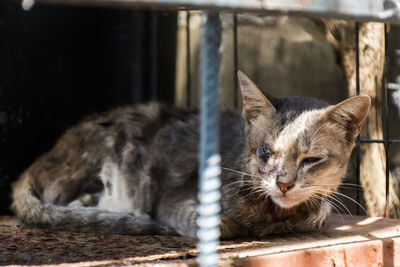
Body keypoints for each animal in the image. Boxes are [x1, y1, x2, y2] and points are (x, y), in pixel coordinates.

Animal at [10, 71, 370, 241]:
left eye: (311, 160)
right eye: (265, 152)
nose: (283, 184)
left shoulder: (319, 208)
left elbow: (319, 212)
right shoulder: (175, 198)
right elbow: (219, 224)